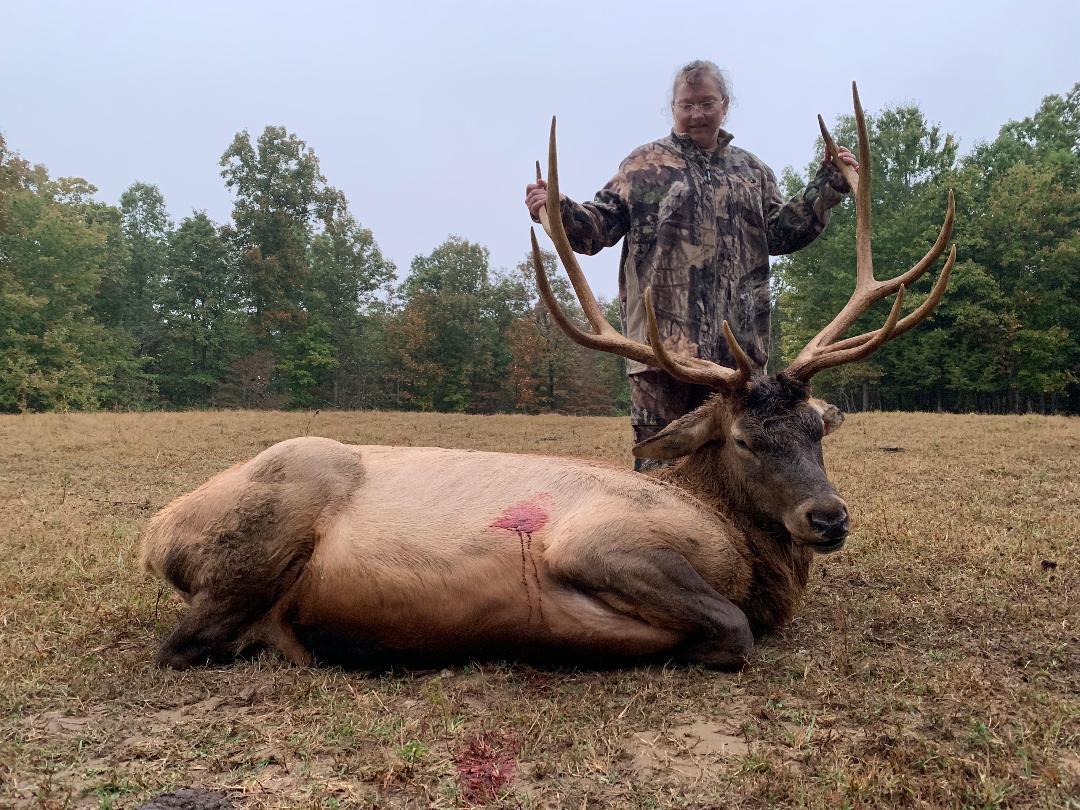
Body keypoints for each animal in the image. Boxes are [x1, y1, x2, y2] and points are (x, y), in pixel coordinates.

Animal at [140, 83, 955, 671]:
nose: (829, 516)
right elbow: (730, 630)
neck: (744, 558)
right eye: (746, 440)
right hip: (280, 502)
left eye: (818, 429)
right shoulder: (602, 542)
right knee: (186, 644)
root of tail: (156, 532)